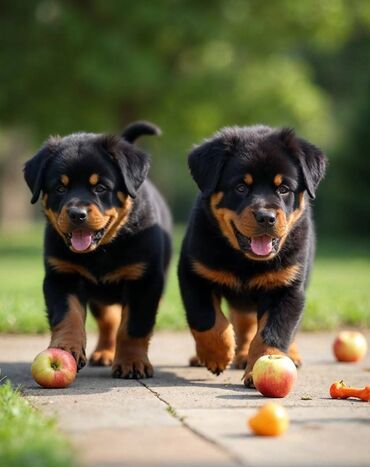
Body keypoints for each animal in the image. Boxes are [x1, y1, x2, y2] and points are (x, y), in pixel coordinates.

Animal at [24, 121, 172, 380]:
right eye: (60, 188)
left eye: (101, 187)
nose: (77, 214)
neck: (102, 251)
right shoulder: (61, 276)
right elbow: (67, 316)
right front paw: (65, 348)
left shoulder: (145, 281)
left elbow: (134, 326)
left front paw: (132, 361)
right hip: (99, 299)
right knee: (108, 322)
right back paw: (104, 353)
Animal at [179, 125, 326, 388]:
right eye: (241, 188)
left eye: (283, 189)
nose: (266, 217)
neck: (245, 260)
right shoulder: (193, 272)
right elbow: (206, 318)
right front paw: (217, 354)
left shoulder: (286, 287)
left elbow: (272, 333)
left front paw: (260, 365)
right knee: (242, 321)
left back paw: (288, 355)